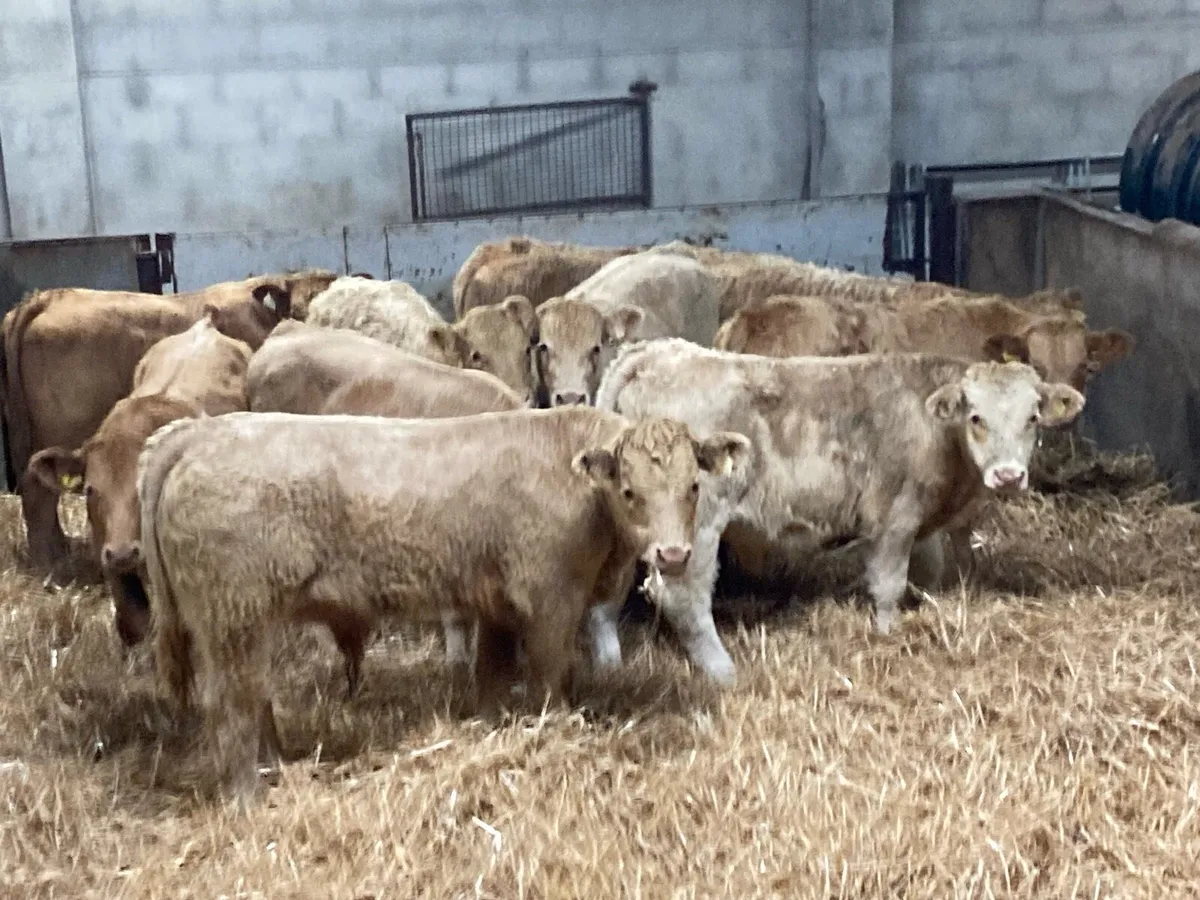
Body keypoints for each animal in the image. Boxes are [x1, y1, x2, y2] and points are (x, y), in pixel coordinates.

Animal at [137, 407, 750, 802]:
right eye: (630, 492)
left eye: (694, 487)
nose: (673, 554)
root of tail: (200, 431)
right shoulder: (550, 599)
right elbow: (552, 677)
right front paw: (557, 734)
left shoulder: (498, 606)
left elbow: (493, 674)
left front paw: (493, 728)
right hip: (231, 617)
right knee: (231, 705)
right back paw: (248, 795)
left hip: (246, 624)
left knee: (255, 695)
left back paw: (277, 766)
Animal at [591, 338, 1086, 685]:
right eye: (976, 417)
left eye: (1033, 418)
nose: (1008, 475)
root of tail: (655, 352)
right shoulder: (893, 519)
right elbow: (888, 586)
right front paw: (887, 638)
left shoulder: (923, 528)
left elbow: (928, 574)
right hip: (698, 524)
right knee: (685, 597)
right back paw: (723, 671)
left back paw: (610, 667)